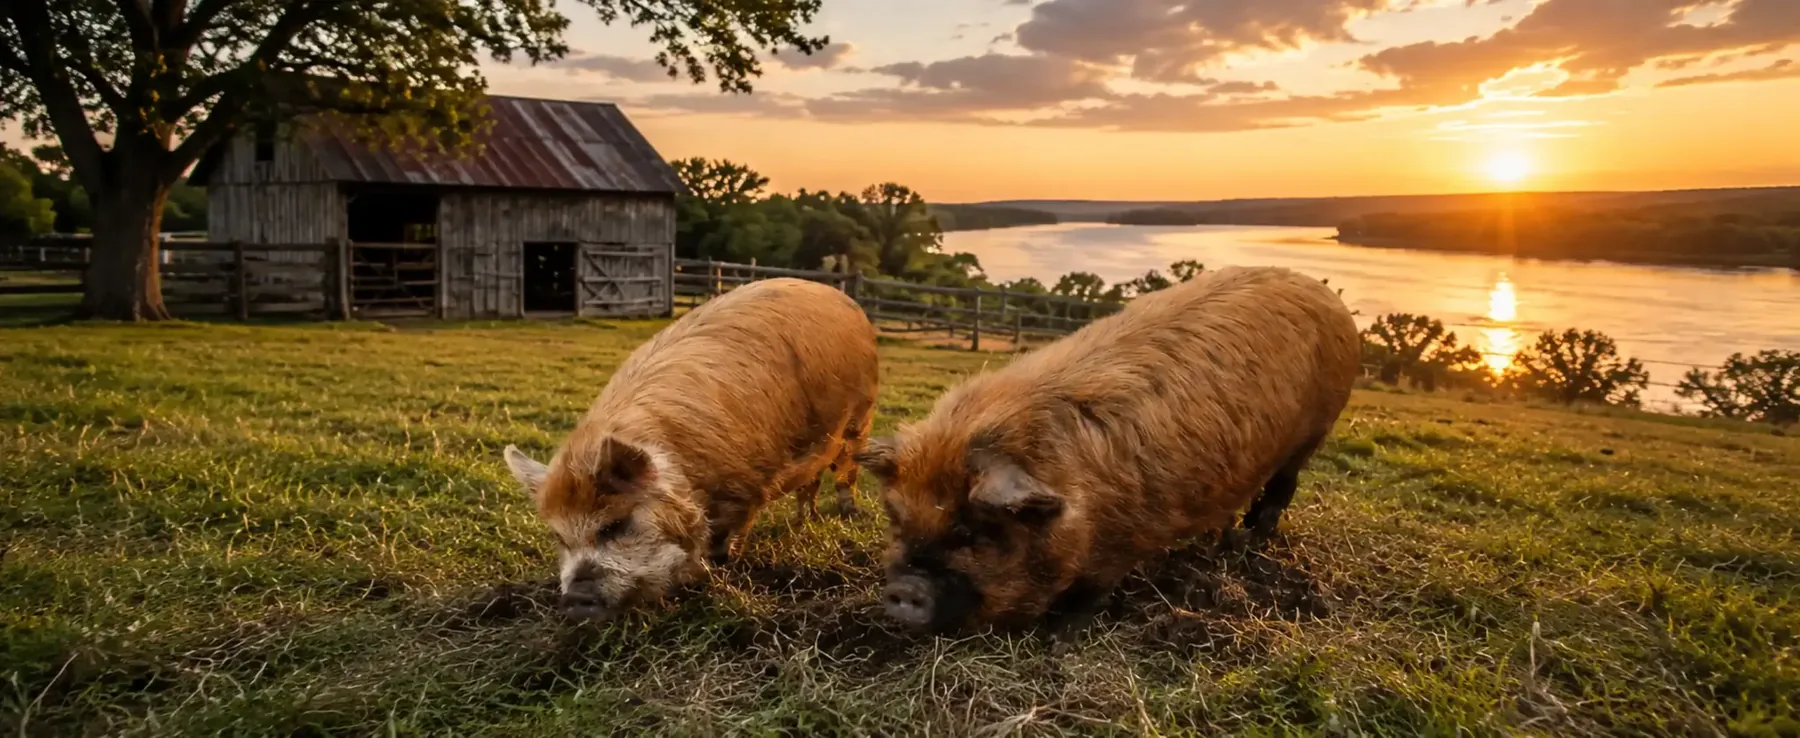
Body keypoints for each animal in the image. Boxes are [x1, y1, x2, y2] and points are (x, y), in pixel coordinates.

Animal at [502, 277, 879, 621]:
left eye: (615, 525)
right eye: (560, 537)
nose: (573, 602)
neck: (686, 474)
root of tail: (843, 298)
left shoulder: (745, 486)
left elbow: (726, 538)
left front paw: (713, 575)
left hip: (860, 418)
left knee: (846, 471)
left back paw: (847, 514)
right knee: (810, 483)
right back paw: (804, 520)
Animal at [857, 266, 1360, 634]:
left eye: (972, 531)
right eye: (897, 519)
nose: (904, 589)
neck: (1077, 491)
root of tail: (1327, 295)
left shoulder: (1124, 541)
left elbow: (1093, 592)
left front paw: (1060, 634)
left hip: (1316, 430)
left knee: (1282, 487)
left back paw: (1251, 541)